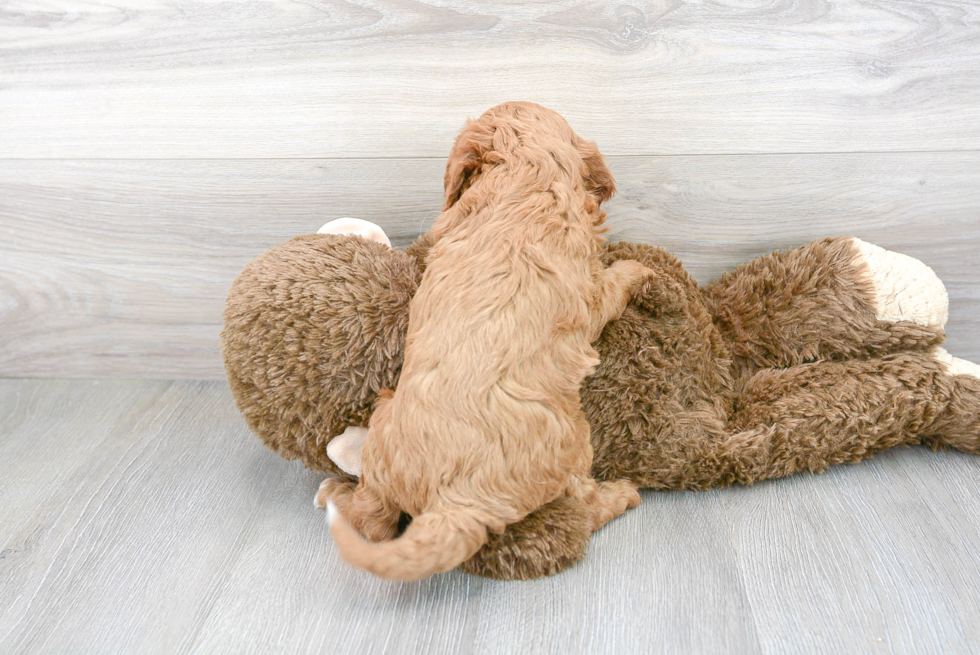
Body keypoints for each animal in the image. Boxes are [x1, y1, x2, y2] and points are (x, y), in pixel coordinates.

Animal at [322, 100, 656, 580]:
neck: (525, 178)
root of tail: (454, 501)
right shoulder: (590, 294)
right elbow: (612, 285)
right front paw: (637, 270)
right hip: (574, 441)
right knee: (584, 505)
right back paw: (622, 494)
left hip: (383, 431)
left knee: (376, 522)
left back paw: (334, 494)